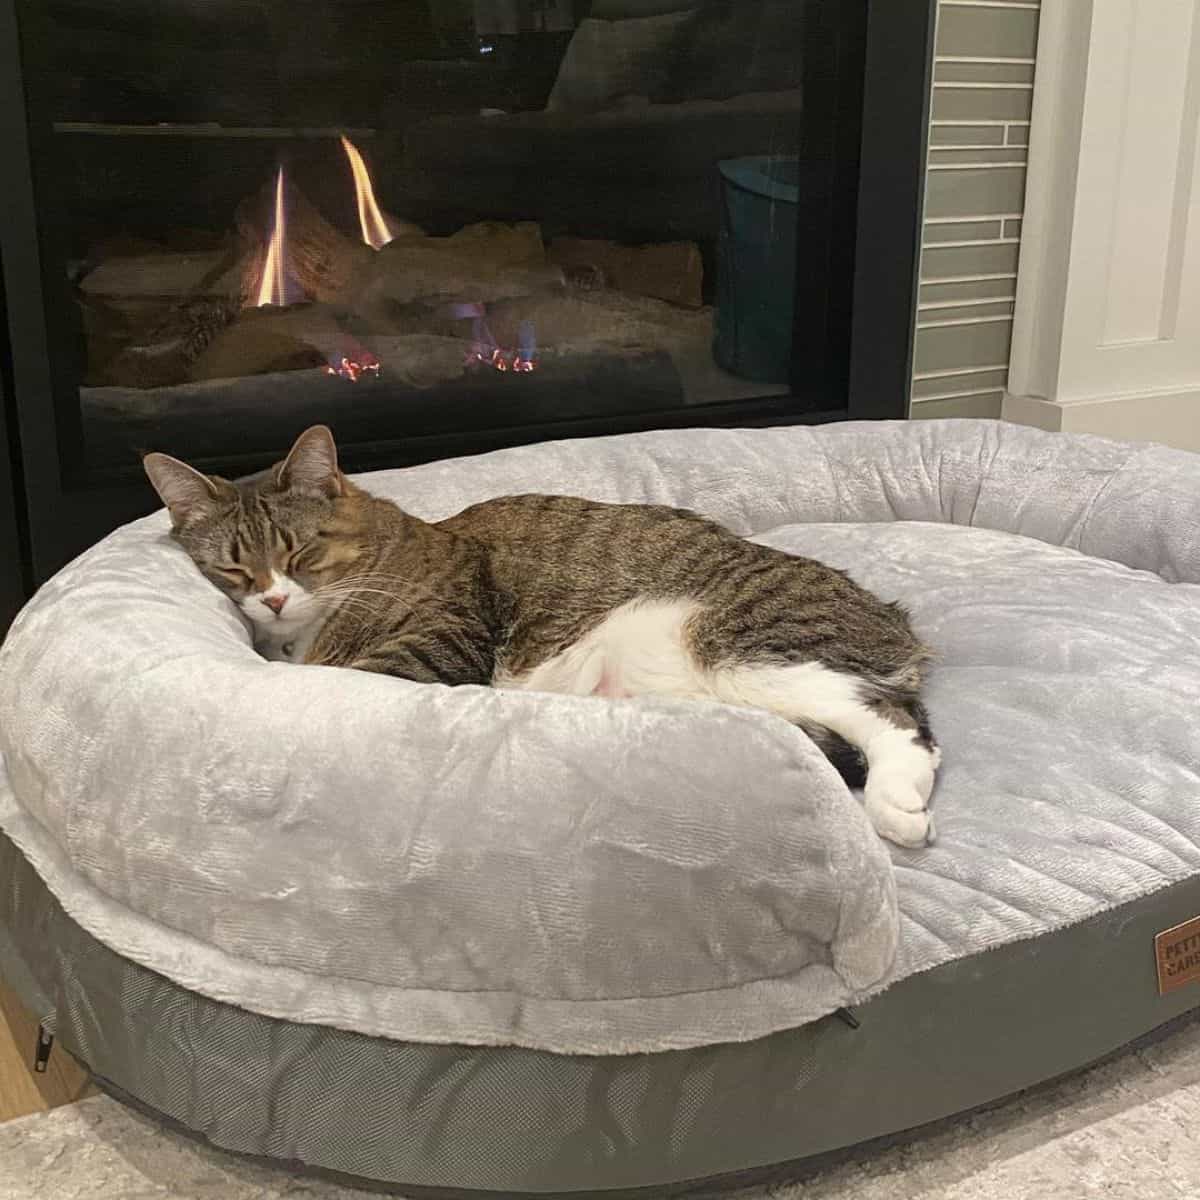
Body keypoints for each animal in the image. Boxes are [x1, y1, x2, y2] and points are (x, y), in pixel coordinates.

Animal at [145, 427, 940, 849]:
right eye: (232, 568)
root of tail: (896, 622)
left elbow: (339, 675)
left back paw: (898, 804)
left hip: (742, 643)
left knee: (897, 720)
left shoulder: (443, 638)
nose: (275, 597)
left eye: (301, 552)